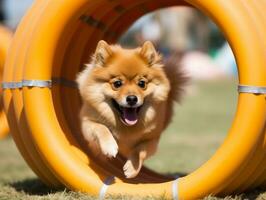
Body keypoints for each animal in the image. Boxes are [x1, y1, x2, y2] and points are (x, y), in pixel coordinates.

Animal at [76, 40, 186, 178]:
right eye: (117, 84)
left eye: (142, 84)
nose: (132, 98)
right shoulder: (87, 123)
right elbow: (101, 128)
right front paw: (109, 146)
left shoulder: (153, 139)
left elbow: (141, 150)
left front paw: (133, 168)